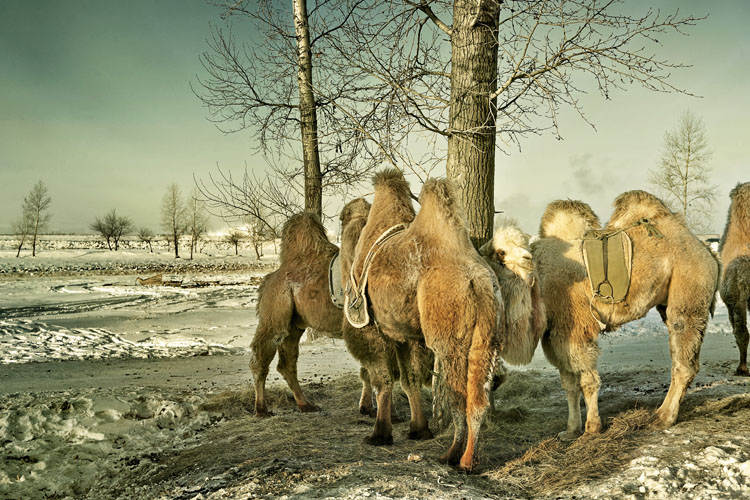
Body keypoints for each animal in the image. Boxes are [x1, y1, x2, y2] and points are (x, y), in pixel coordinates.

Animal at [250, 201, 374, 416]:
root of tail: (269, 279)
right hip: (275, 306)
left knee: (286, 363)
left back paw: (305, 405)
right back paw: (261, 409)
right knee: (262, 356)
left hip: (295, 324)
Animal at [536, 191, 724, 438]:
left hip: (689, 285)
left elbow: (587, 380)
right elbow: (568, 382)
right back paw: (659, 414)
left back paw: (663, 419)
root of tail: (708, 252)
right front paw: (570, 430)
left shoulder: (575, 327)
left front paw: (591, 429)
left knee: (684, 357)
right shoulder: (555, 334)